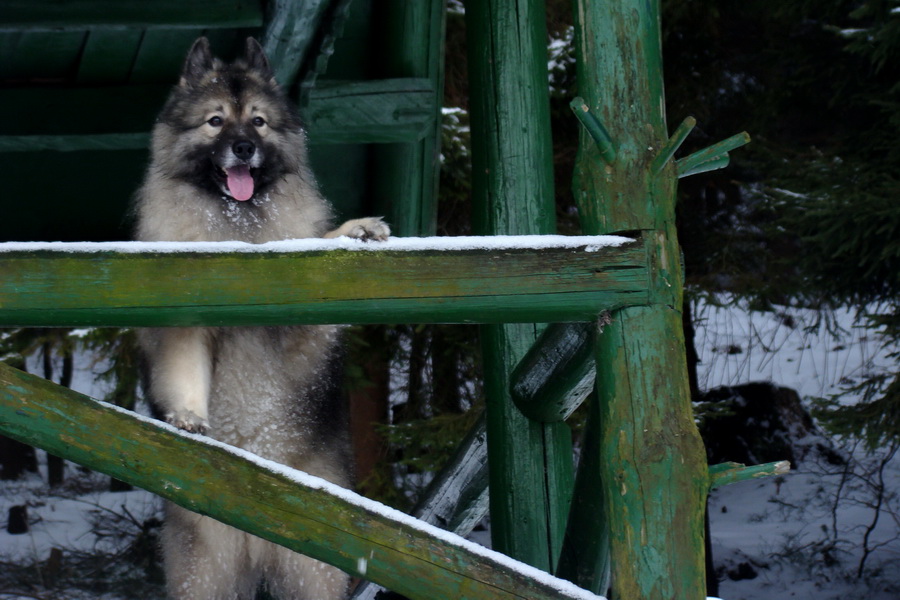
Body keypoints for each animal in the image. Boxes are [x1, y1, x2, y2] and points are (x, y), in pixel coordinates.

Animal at [132, 36, 388, 596]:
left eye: (259, 122)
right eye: (215, 122)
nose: (244, 148)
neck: (239, 230)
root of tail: (256, 522)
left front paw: (354, 230)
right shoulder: (185, 323)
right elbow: (184, 371)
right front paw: (188, 416)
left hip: (313, 571)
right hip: (205, 573)